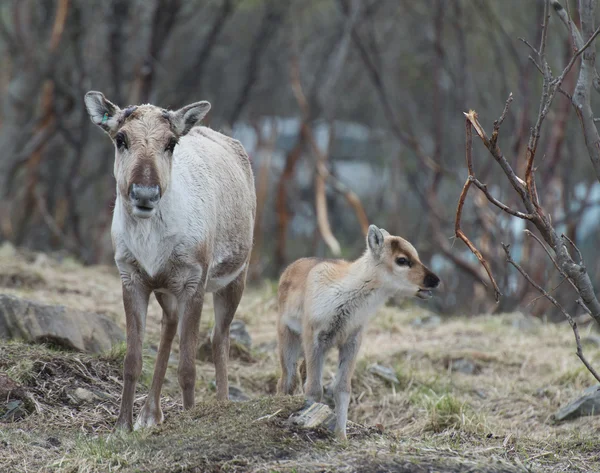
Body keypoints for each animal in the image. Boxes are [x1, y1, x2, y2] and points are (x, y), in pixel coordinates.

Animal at [276, 225, 440, 438]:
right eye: (402, 260)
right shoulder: (314, 339)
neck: (345, 298)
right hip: (288, 338)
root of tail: (288, 270)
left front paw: (341, 437)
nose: (435, 280)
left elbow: (342, 389)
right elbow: (313, 389)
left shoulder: (351, 342)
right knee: (287, 379)